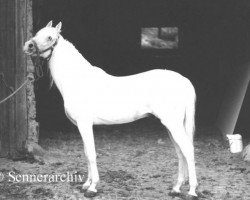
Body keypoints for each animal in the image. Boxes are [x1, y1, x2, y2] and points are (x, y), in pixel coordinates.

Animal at [23, 21, 199, 199]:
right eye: (37, 33)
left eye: (50, 37)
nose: (28, 46)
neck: (78, 81)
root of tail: (184, 81)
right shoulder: (82, 126)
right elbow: (86, 153)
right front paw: (86, 184)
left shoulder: (85, 124)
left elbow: (91, 154)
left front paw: (92, 187)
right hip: (172, 126)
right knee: (180, 152)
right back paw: (176, 188)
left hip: (173, 124)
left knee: (188, 150)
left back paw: (192, 190)